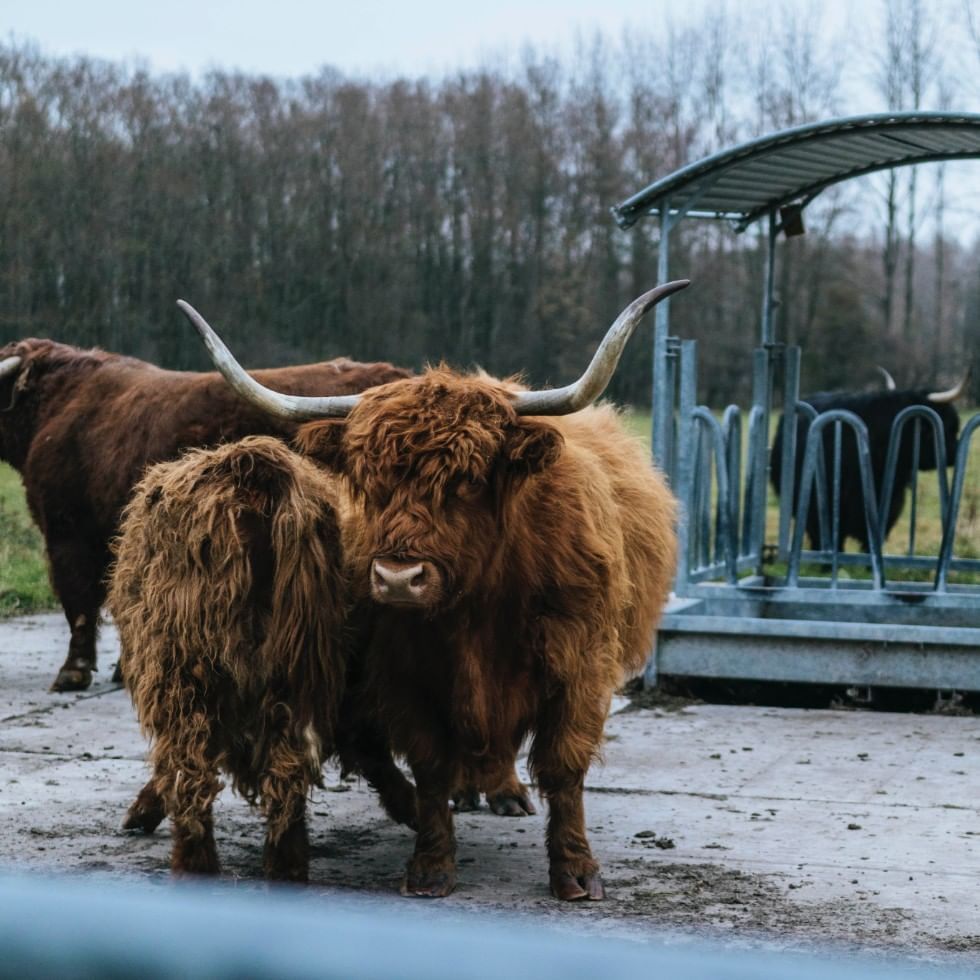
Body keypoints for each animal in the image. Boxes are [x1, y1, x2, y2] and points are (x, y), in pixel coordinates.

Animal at [109, 436, 416, 880]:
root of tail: (249, 466)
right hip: (295, 665)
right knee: (287, 768)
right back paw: (286, 870)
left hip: (185, 667)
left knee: (191, 768)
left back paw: (194, 867)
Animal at [182, 280, 688, 900]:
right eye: (368, 480)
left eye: (467, 479)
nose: (399, 578)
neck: (477, 611)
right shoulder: (405, 673)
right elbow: (430, 767)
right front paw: (430, 864)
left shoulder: (579, 663)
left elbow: (564, 766)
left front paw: (574, 870)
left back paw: (504, 793)